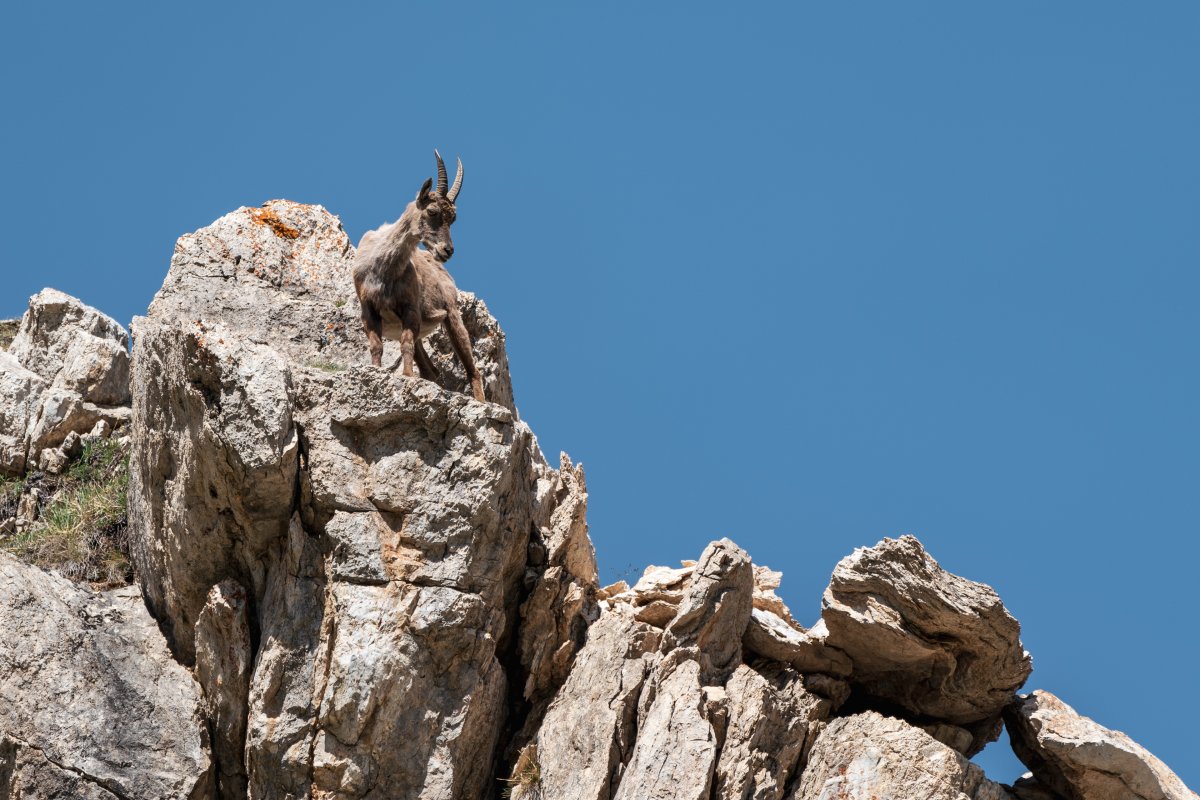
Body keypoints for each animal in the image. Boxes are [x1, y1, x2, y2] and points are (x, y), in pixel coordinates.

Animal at [352, 149, 484, 400]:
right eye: (432, 211)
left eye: (453, 218)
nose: (447, 250)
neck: (384, 268)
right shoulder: (368, 308)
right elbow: (376, 346)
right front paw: (375, 373)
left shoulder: (410, 308)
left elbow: (405, 344)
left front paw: (407, 377)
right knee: (431, 370)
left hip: (452, 315)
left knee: (473, 370)